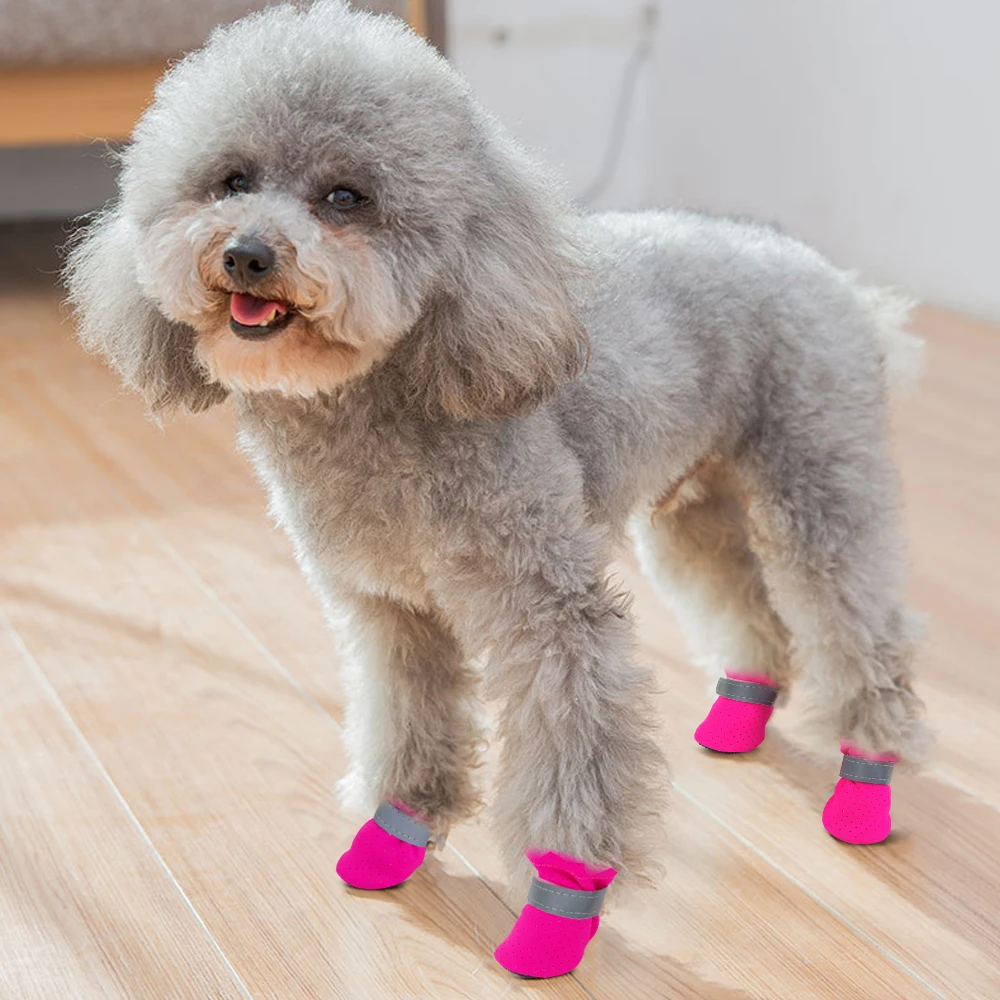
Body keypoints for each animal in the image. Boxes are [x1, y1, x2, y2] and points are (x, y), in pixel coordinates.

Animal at [65, 0, 931, 978]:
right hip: (691, 509)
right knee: (752, 608)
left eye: (345, 198)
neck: (382, 394)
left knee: (861, 628)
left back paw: (865, 786)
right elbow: (407, 724)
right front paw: (393, 838)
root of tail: (831, 276)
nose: (248, 254)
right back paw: (739, 718)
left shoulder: (549, 614)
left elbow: (572, 753)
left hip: (821, 485)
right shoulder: (390, 610)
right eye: (229, 181)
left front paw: (560, 911)